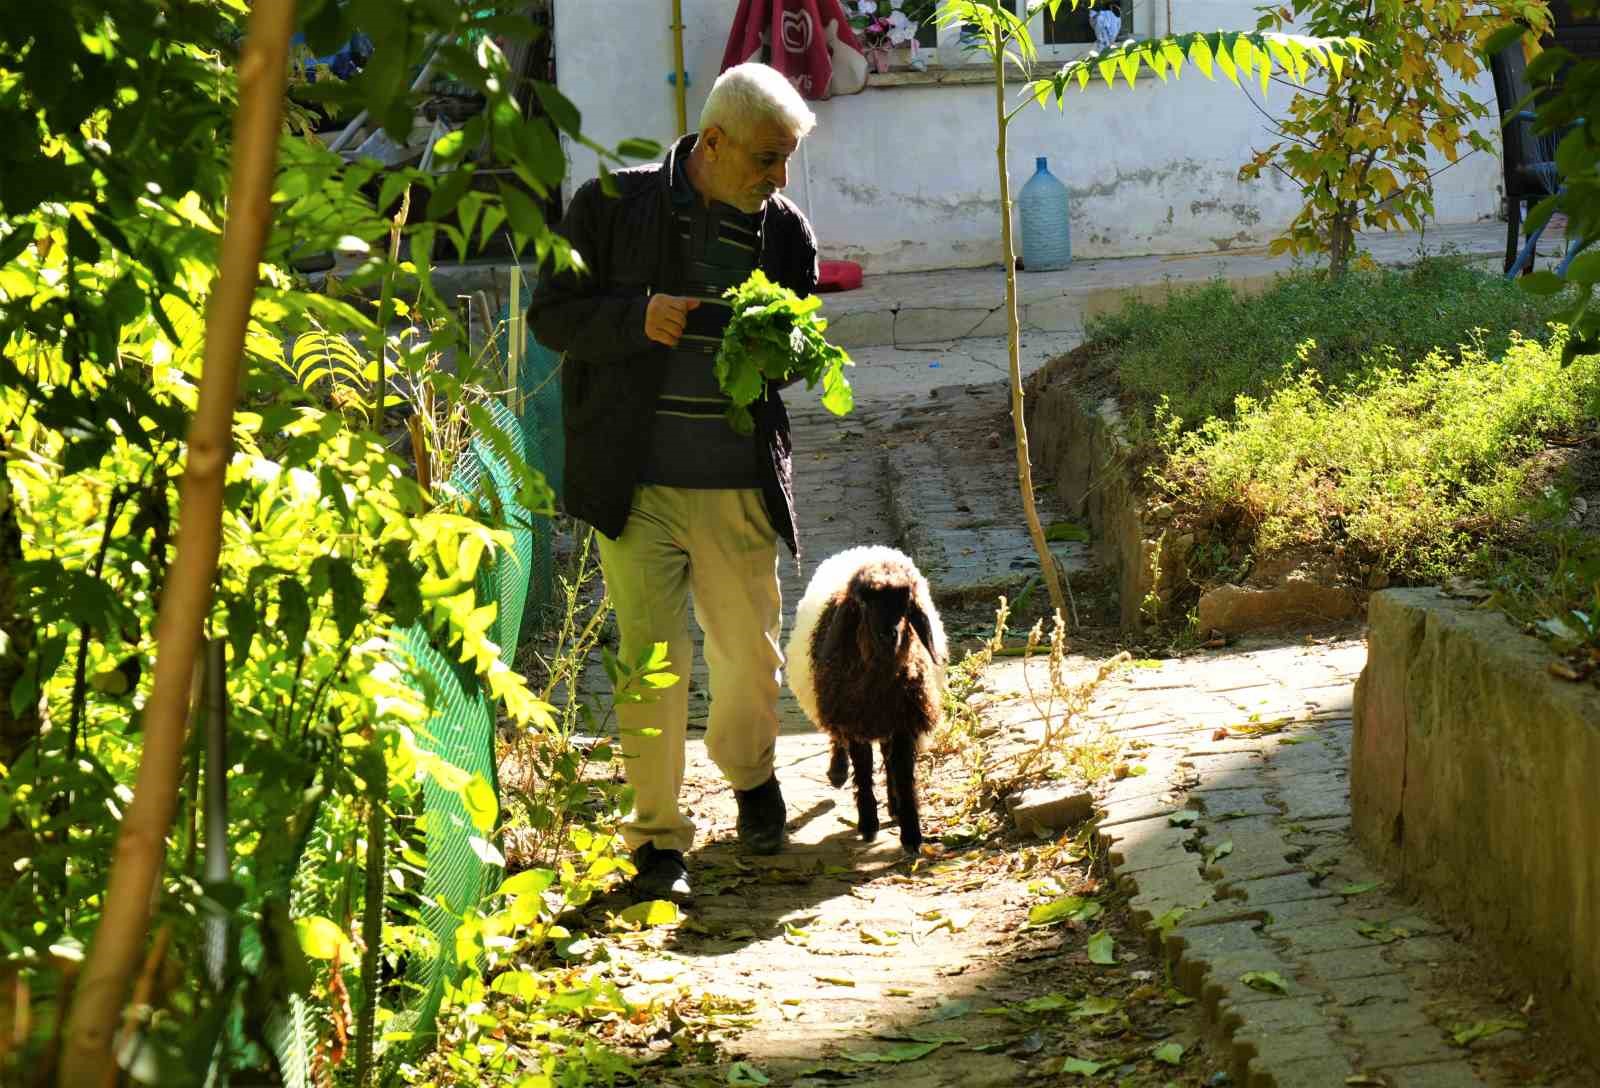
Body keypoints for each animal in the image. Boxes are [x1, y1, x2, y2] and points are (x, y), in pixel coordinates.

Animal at [787, 547, 947, 851]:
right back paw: (837, 772)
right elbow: (862, 769)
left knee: (886, 757)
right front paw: (868, 823)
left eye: (906, 603)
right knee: (838, 739)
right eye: (863, 604)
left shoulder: (902, 723)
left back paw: (893, 805)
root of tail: (867, 550)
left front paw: (911, 833)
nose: (889, 635)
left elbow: (903, 773)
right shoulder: (854, 723)